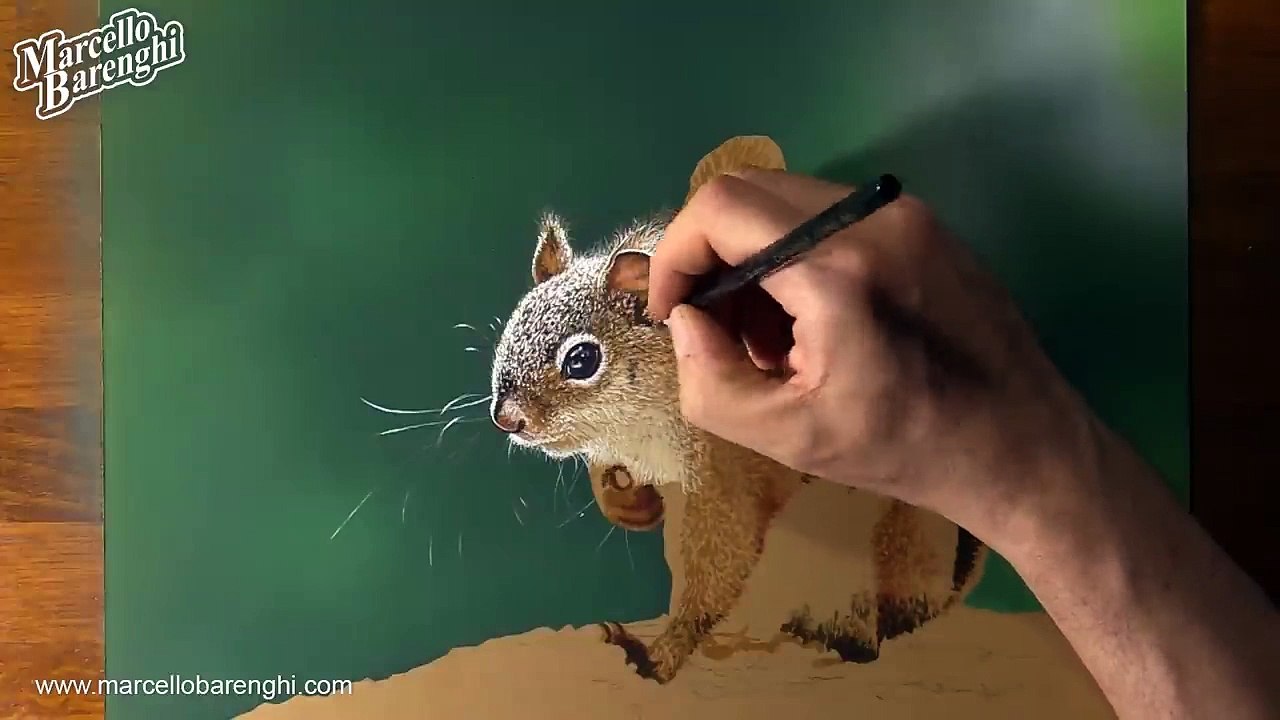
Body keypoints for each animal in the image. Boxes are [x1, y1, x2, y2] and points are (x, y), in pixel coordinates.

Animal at [489, 136, 988, 684]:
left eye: (581, 359)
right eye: (507, 331)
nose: (505, 419)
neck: (639, 429)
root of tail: (934, 597)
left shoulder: (725, 470)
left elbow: (719, 559)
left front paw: (665, 655)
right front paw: (622, 499)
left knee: (859, 640)